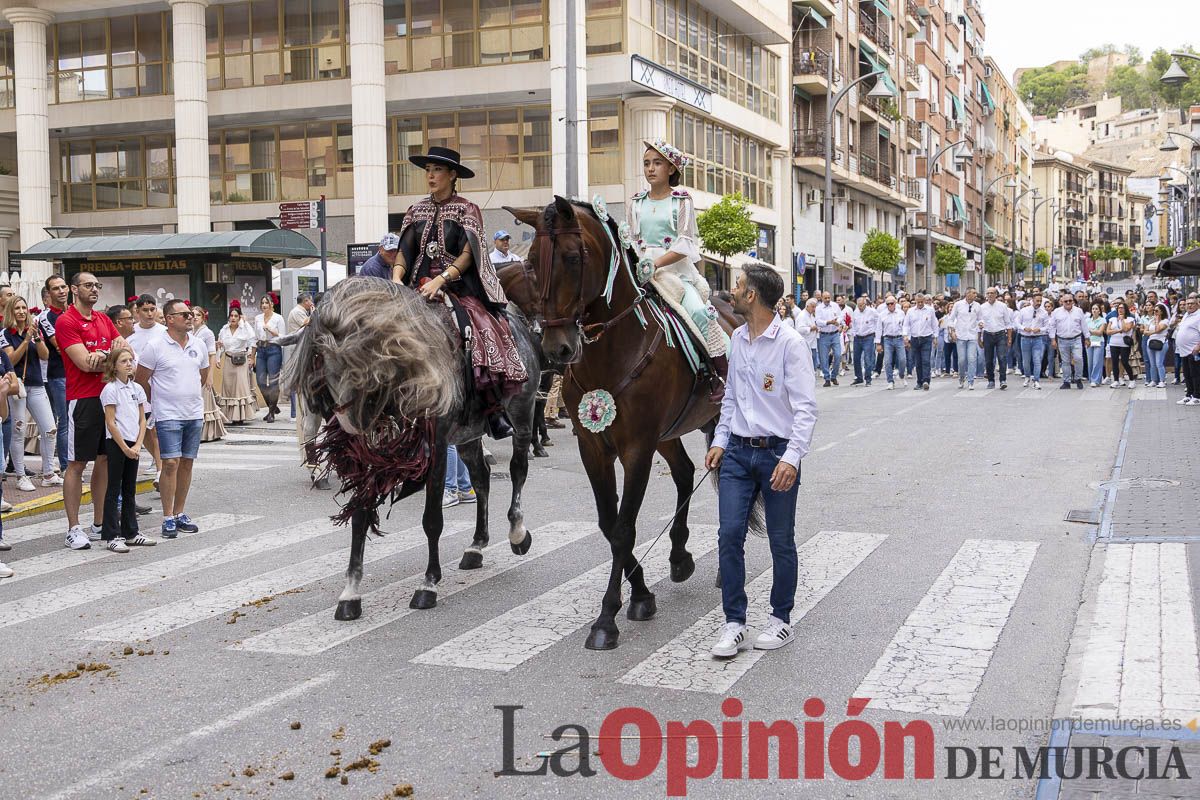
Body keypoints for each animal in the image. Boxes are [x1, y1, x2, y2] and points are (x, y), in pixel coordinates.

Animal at [285, 276, 542, 619]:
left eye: (356, 359)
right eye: (323, 362)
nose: (351, 423)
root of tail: (520, 325)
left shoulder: (436, 447)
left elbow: (432, 520)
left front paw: (428, 584)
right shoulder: (369, 458)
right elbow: (360, 516)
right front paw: (351, 592)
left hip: (522, 415)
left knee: (517, 471)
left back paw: (517, 533)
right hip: (467, 435)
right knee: (482, 478)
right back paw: (476, 546)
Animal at [504, 195, 752, 650]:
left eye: (571, 257)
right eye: (530, 261)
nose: (556, 348)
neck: (613, 349)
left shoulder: (637, 447)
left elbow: (623, 528)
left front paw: (607, 618)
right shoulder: (594, 446)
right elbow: (608, 523)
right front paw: (640, 595)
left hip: (711, 425)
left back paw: (722, 568)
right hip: (668, 433)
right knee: (685, 473)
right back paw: (679, 557)